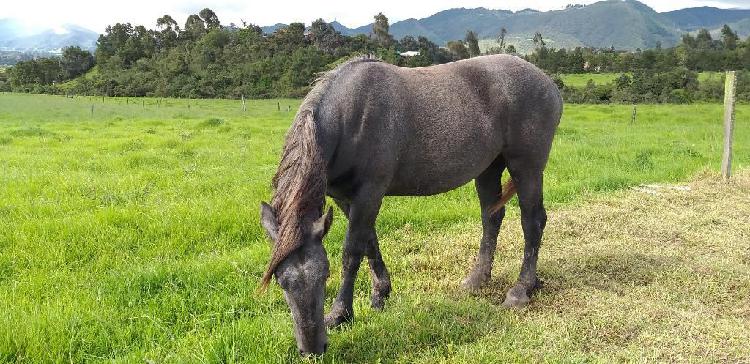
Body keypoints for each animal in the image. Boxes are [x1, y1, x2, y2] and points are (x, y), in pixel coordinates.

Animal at [262, 54, 560, 356]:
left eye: (324, 274)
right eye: (281, 281)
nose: (312, 349)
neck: (350, 118)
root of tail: (547, 82)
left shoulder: (369, 192)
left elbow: (352, 252)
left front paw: (340, 314)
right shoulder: (345, 199)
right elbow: (369, 243)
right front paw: (380, 294)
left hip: (527, 167)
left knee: (532, 221)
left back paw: (521, 289)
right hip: (489, 168)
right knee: (492, 218)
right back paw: (476, 280)